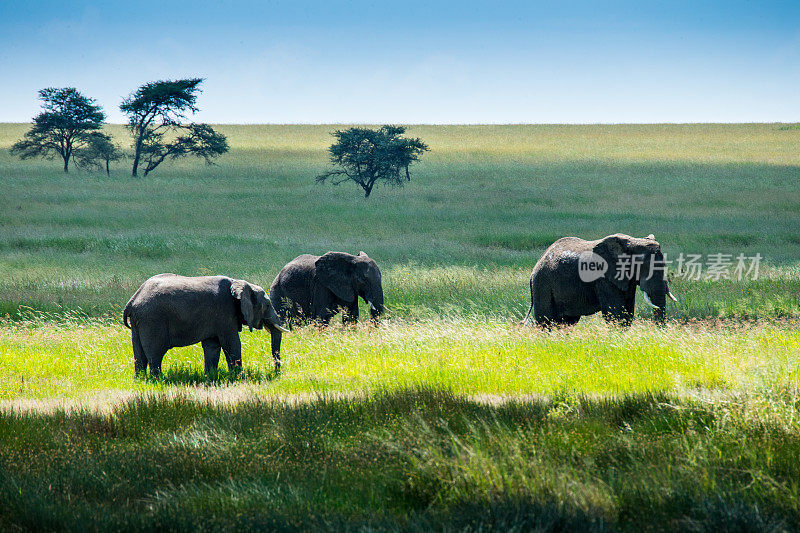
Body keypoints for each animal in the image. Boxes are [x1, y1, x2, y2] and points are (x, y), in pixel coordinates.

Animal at [123, 272, 290, 376]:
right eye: (267, 305)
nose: (277, 371)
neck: (239, 282)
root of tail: (132, 300)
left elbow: (212, 346)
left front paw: (209, 376)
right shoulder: (224, 312)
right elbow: (232, 343)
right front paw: (238, 376)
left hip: (139, 322)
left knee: (139, 354)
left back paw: (141, 380)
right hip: (153, 320)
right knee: (155, 353)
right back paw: (159, 380)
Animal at [520, 234, 680, 328]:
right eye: (644, 267)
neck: (632, 241)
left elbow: (627, 313)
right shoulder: (603, 277)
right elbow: (615, 313)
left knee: (567, 322)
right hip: (542, 284)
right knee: (546, 321)